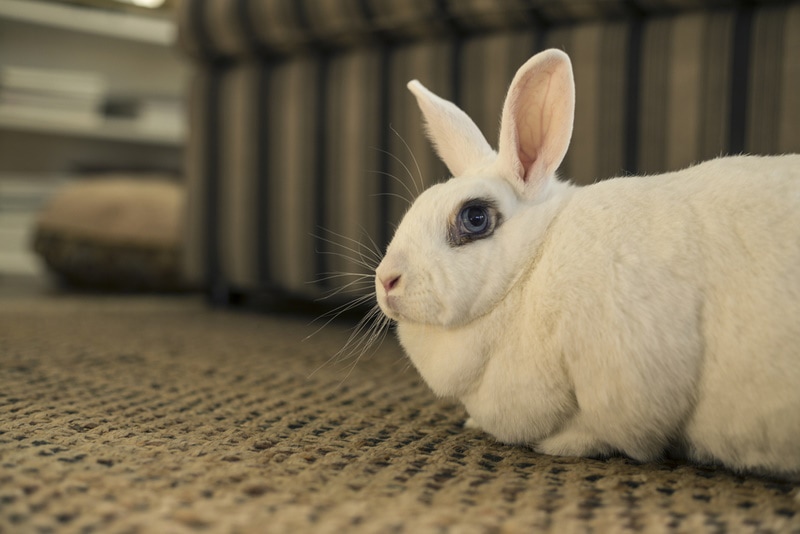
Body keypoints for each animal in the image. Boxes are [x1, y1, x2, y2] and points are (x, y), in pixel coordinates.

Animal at [376, 48, 800, 480]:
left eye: (475, 217)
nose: (386, 280)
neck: (529, 269)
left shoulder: (625, 383)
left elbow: (608, 434)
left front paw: (560, 446)